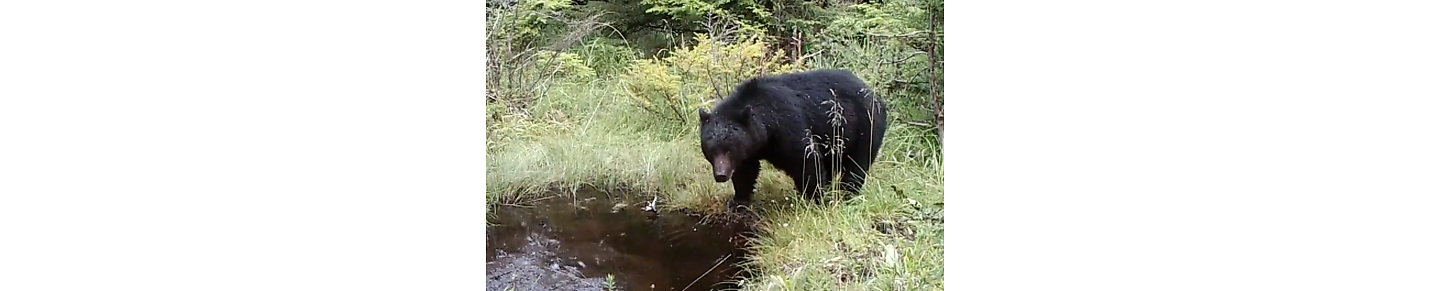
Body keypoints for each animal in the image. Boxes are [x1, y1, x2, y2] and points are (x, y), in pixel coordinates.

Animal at [697, 68, 886, 209]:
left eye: (729, 149)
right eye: (711, 150)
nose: (721, 175)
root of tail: (874, 95)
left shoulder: (788, 125)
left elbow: (805, 159)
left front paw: (815, 198)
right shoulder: (751, 146)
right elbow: (746, 171)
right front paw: (737, 201)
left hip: (864, 127)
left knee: (857, 165)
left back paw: (847, 194)